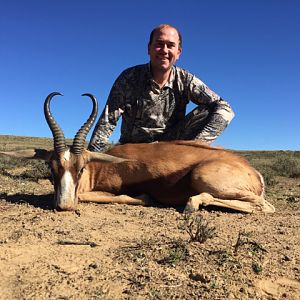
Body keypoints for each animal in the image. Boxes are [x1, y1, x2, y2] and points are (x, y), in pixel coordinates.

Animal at [0, 92, 276, 212]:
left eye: (80, 168)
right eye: (51, 168)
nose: (64, 205)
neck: (99, 168)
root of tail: (254, 172)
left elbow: (96, 196)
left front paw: (144, 197)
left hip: (203, 177)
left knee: (264, 206)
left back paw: (192, 204)